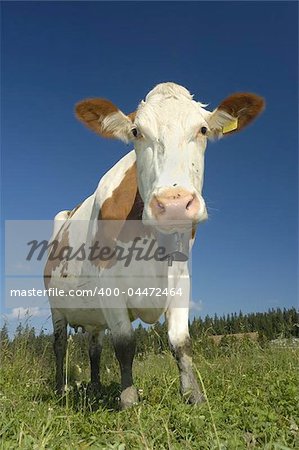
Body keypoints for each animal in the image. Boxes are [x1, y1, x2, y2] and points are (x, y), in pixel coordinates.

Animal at [44, 82, 264, 410]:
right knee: (60, 345)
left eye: (202, 129)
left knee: (94, 346)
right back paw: (61, 388)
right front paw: (128, 398)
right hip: (55, 306)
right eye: (137, 131)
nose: (173, 204)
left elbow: (180, 342)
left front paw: (193, 395)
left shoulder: (181, 279)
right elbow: (124, 343)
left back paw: (95, 386)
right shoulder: (108, 284)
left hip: (93, 316)